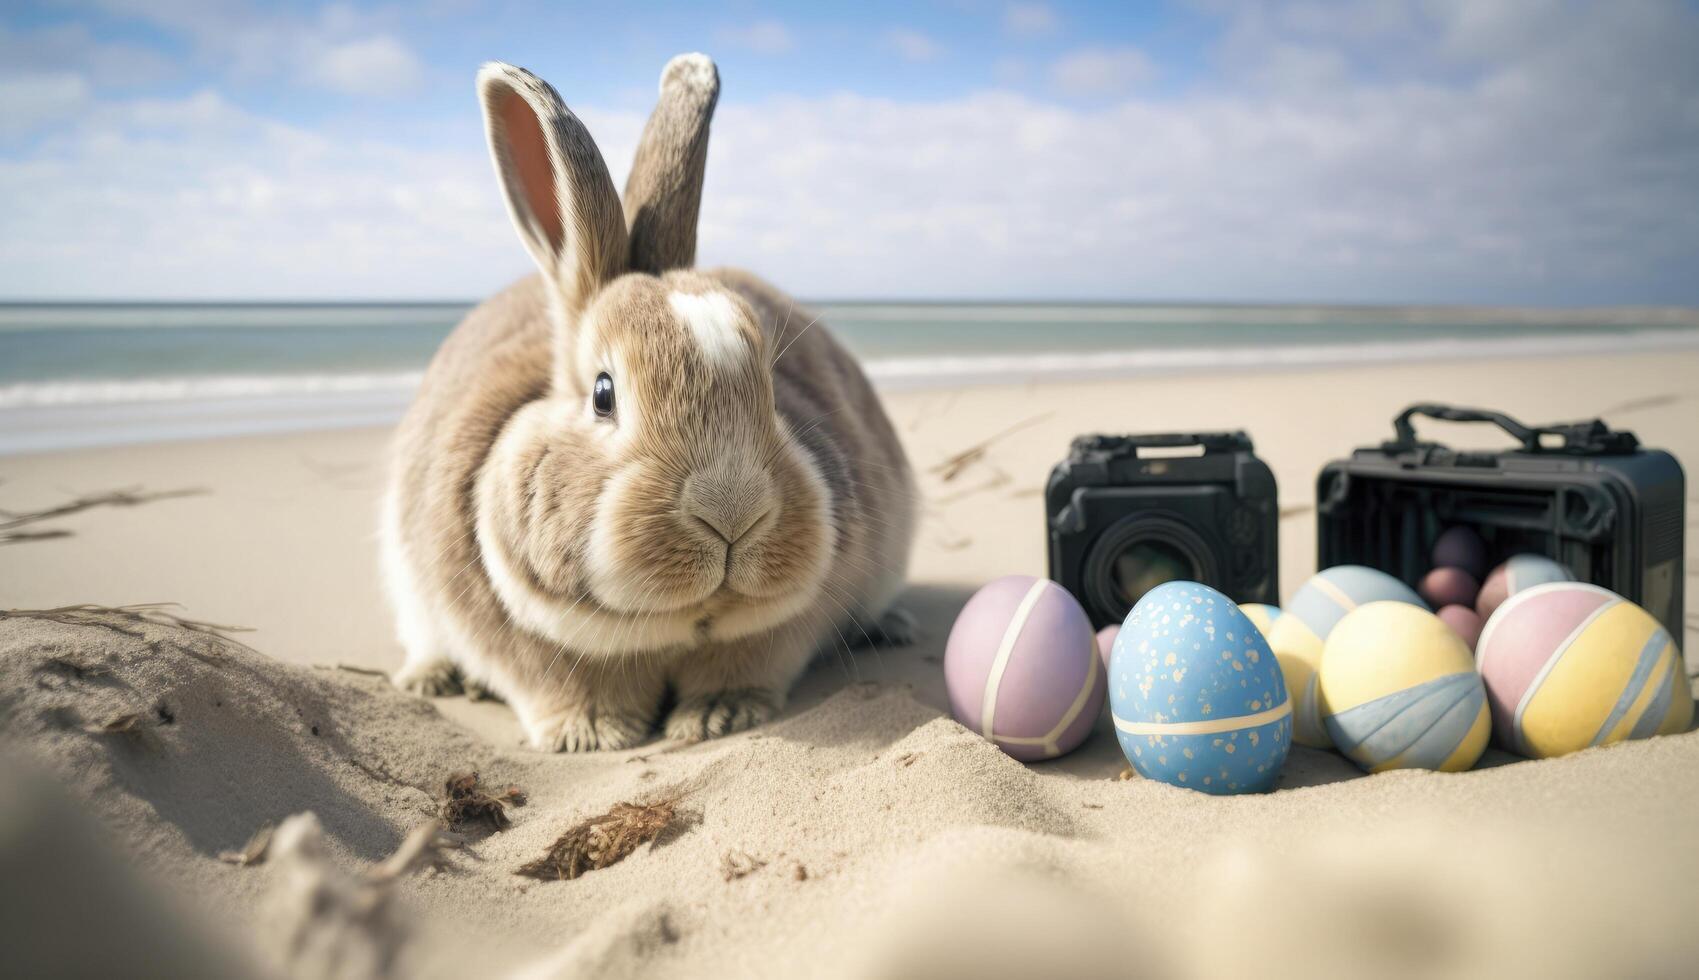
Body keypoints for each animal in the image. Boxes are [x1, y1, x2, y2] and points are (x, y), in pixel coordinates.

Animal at [380, 53, 924, 747]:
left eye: (772, 382)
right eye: (603, 394)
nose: (732, 513)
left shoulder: (768, 639)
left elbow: (746, 665)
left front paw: (719, 717)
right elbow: (566, 689)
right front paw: (589, 735)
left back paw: (895, 627)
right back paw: (431, 679)